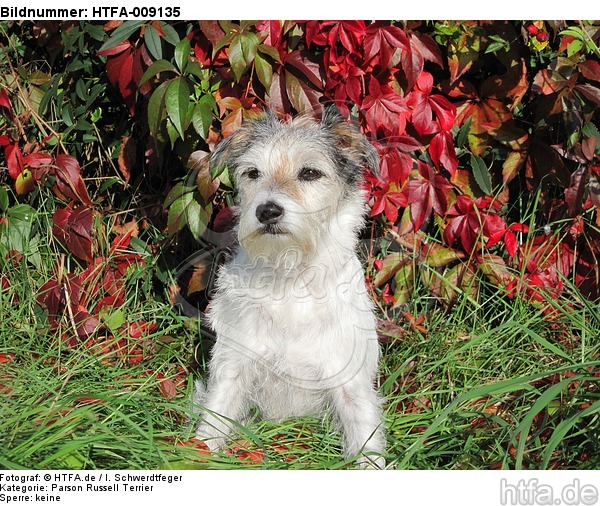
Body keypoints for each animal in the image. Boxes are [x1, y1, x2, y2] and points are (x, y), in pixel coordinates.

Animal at [195, 107, 386, 470]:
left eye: (310, 172)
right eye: (253, 172)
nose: (267, 210)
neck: (291, 275)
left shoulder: (349, 383)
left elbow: (366, 442)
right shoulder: (233, 366)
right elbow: (212, 422)